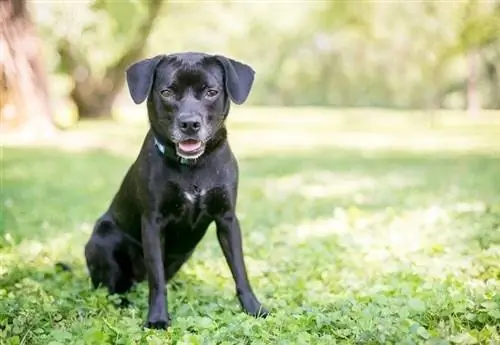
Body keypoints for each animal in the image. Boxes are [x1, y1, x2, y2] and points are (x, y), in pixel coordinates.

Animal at [84, 51, 270, 328]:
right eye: (167, 92)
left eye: (211, 92)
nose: (190, 124)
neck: (193, 167)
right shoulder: (153, 222)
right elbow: (157, 279)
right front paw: (157, 318)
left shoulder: (227, 220)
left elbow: (240, 270)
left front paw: (253, 308)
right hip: (103, 239)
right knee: (112, 287)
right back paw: (124, 303)